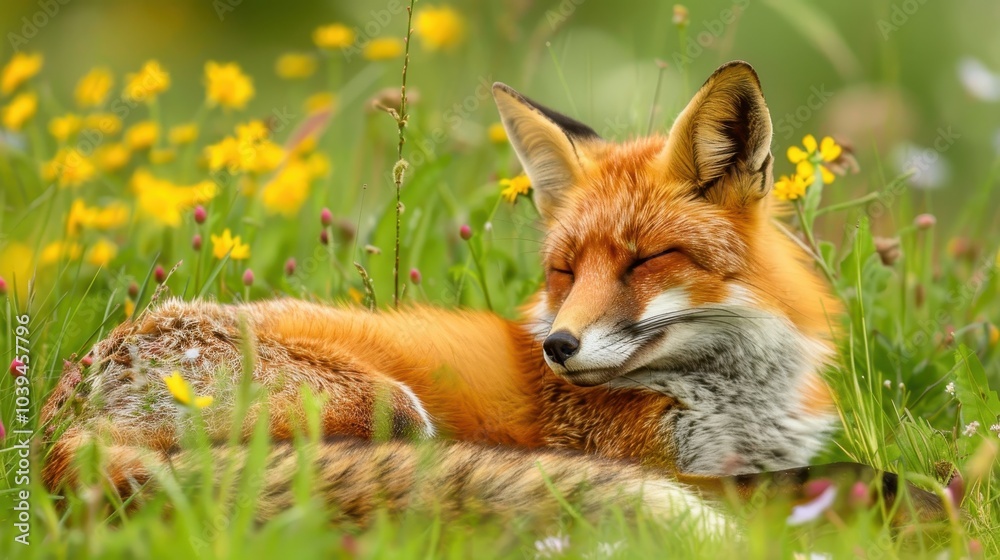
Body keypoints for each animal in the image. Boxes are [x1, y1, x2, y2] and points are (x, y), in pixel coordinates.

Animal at [39, 61, 951, 532]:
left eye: (644, 260)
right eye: (565, 270)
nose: (558, 347)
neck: (730, 397)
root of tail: (57, 431)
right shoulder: (666, 465)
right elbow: (832, 479)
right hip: (389, 409)